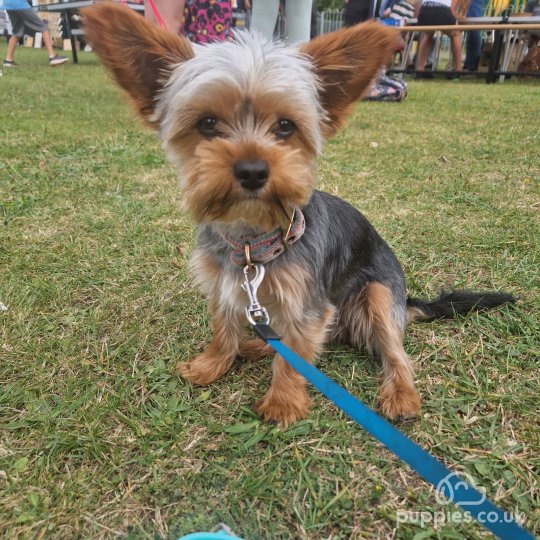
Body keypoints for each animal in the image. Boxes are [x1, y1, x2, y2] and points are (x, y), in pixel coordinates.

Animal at [82, 4, 512, 426]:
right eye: (207, 123)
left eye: (286, 126)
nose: (252, 170)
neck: (253, 242)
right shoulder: (224, 287)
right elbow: (224, 328)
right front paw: (212, 364)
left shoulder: (308, 305)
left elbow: (294, 359)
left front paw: (282, 403)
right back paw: (256, 346)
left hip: (378, 294)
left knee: (395, 353)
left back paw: (401, 395)